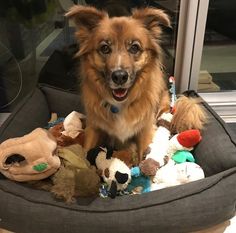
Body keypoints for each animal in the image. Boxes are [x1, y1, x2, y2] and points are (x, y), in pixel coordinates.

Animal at [66, 5, 206, 162]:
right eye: (105, 48)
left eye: (134, 47)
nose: (119, 76)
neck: (121, 104)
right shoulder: (94, 127)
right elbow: (86, 154)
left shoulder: (145, 130)